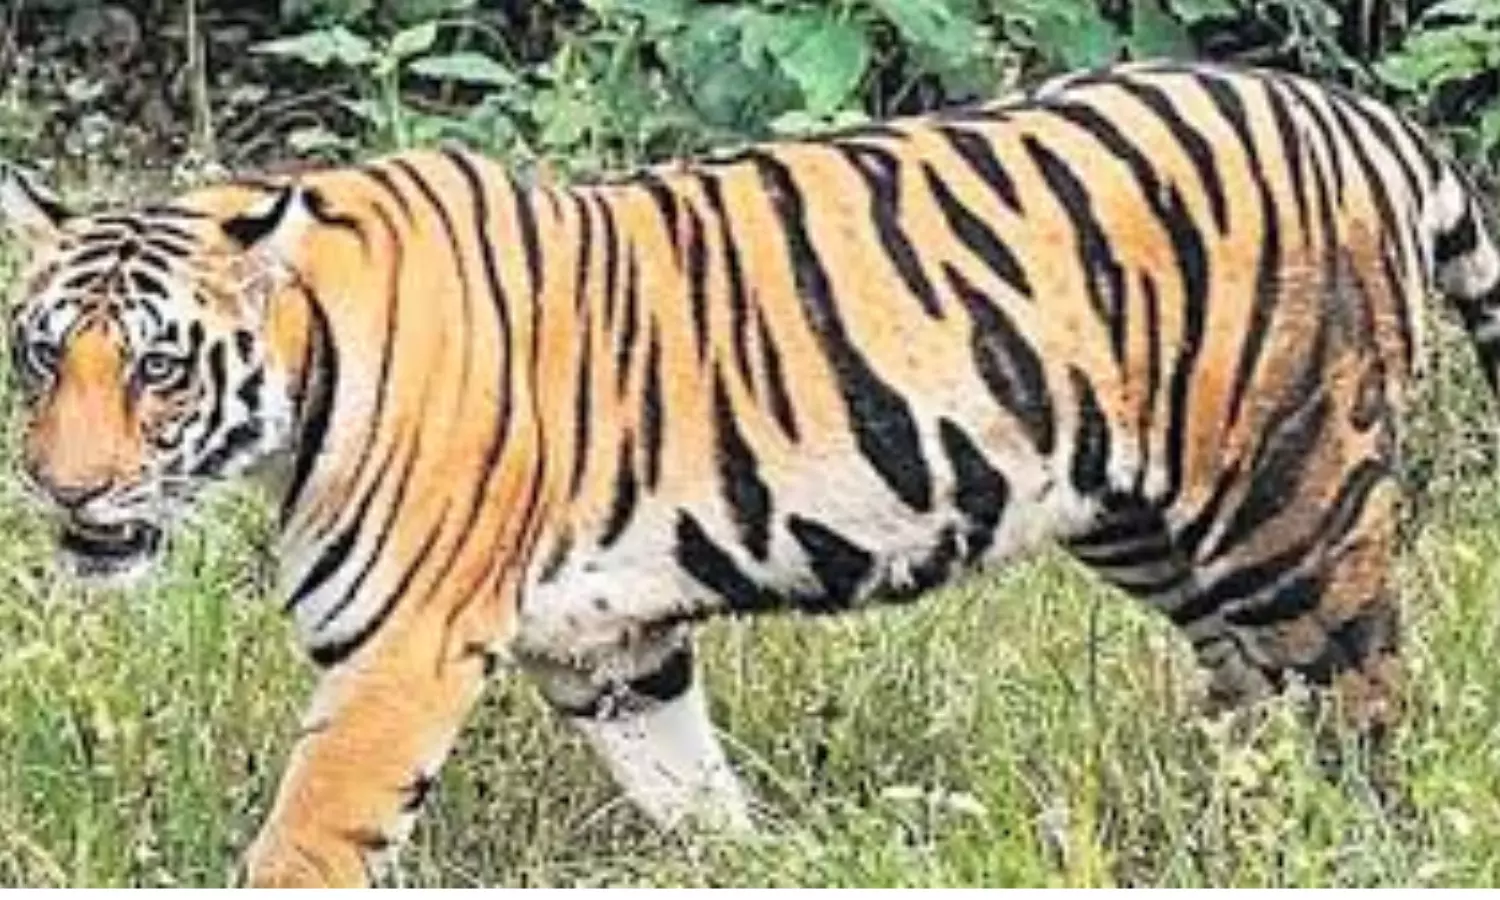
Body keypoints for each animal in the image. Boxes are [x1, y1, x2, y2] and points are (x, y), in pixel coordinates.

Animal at [2, 59, 1498, 886]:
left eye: (159, 369)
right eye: (40, 356)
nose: (62, 495)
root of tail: (1357, 113)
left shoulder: (400, 650)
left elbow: (310, 838)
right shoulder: (609, 650)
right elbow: (691, 791)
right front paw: (769, 864)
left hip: (1291, 502)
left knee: (1366, 695)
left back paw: (1353, 847)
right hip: (1144, 520)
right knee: (1259, 695)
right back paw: (1223, 828)